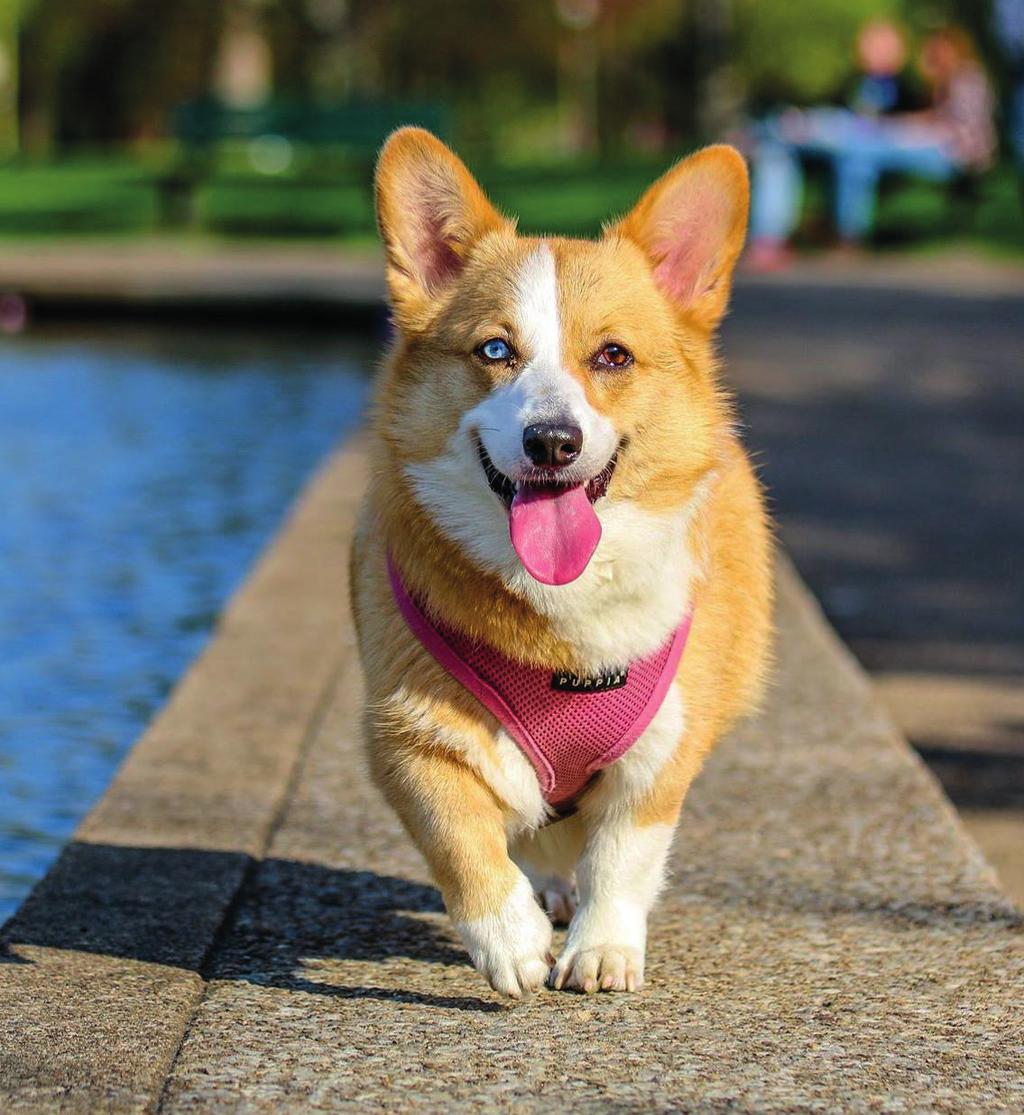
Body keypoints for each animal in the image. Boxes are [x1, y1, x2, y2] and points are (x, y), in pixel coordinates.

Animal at [350, 126, 767, 999]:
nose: (552, 442)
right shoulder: (406, 734)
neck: (561, 619)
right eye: (495, 349)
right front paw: (509, 938)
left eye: (612, 356)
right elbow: (460, 837)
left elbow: (622, 854)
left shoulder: (662, 752)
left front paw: (601, 948)